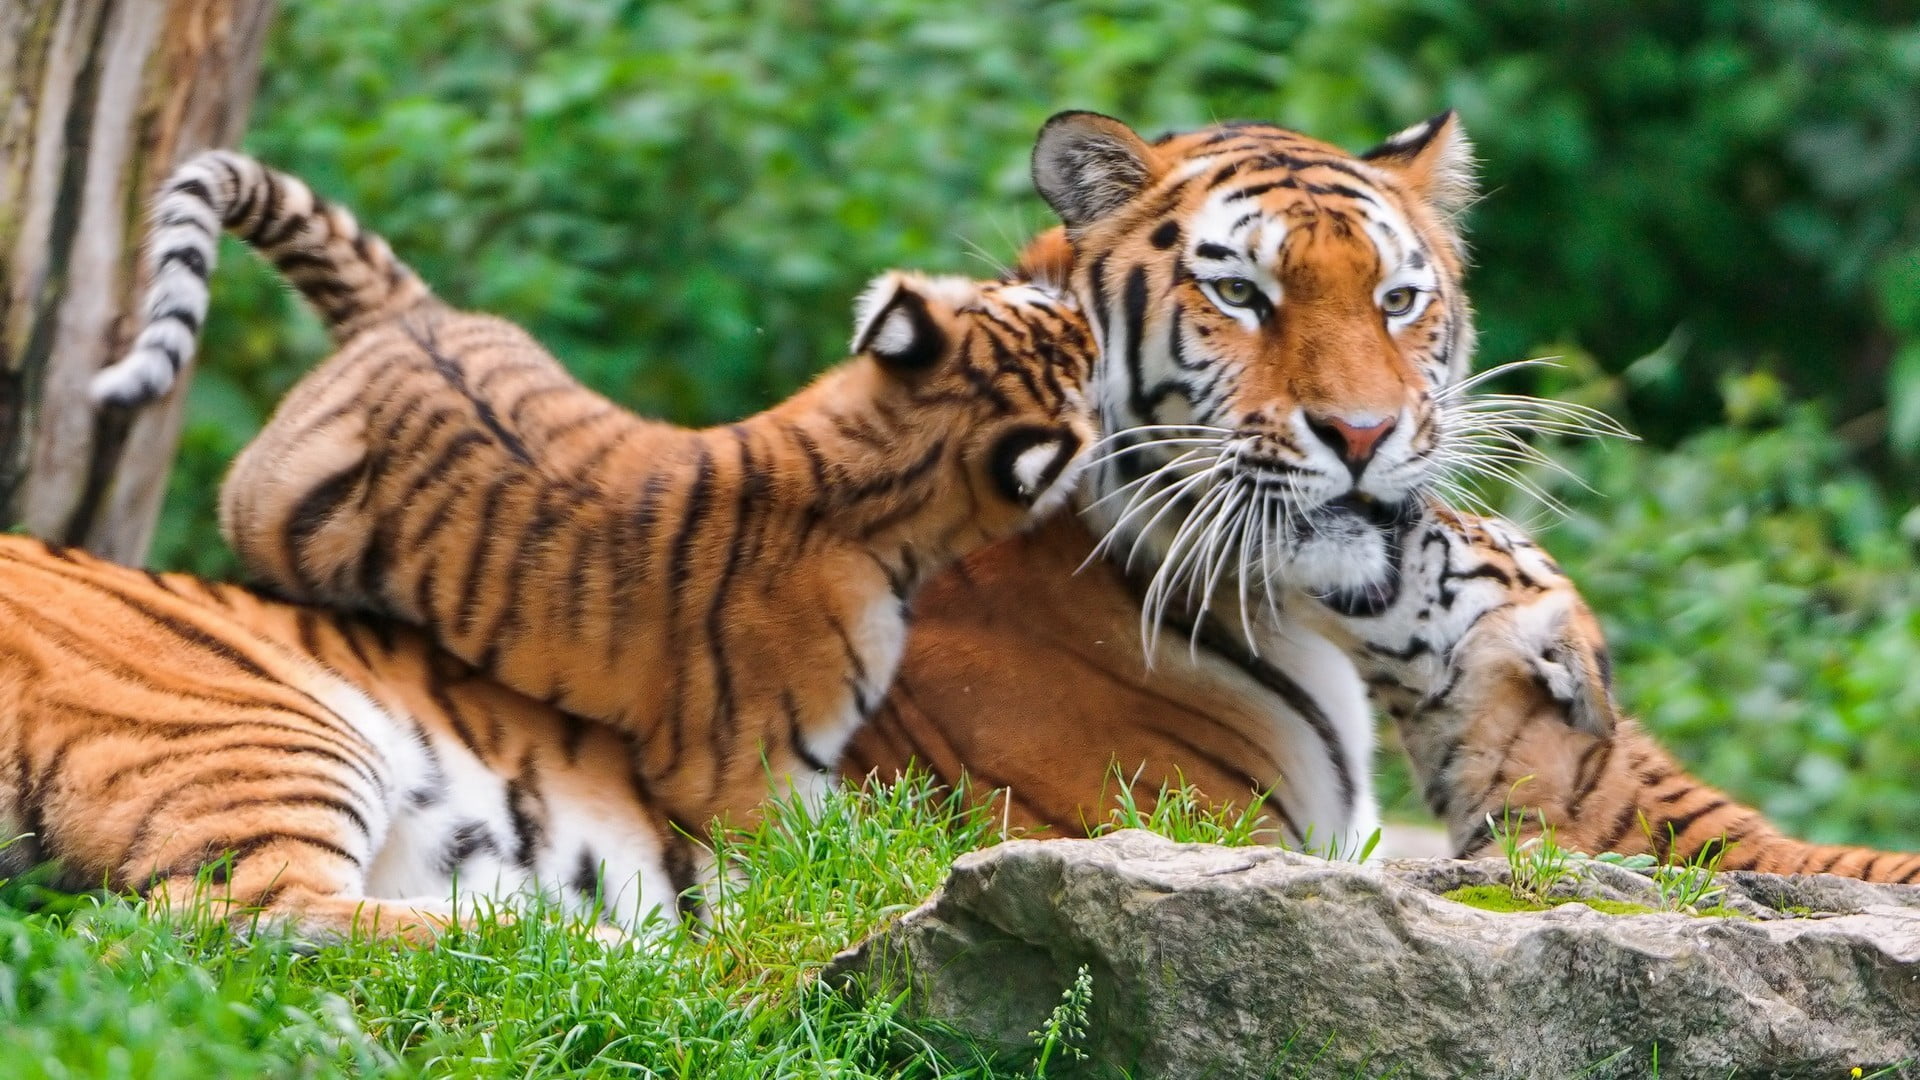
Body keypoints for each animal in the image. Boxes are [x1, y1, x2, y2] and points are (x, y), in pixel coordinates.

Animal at [90, 150, 1097, 840]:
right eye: (1063, 333)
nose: (1076, 292)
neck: (870, 458)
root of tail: (409, 319)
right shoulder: (750, 772)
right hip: (264, 513)